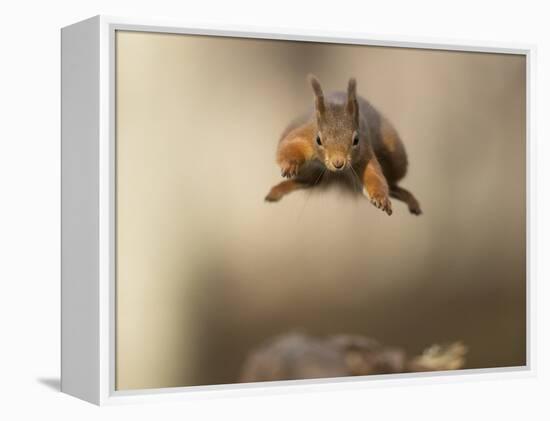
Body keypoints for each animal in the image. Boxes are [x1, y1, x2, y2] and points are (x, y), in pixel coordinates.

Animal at [268, 73, 422, 215]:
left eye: (356, 140)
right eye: (318, 140)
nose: (338, 163)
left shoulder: (364, 151)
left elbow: (373, 175)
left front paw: (381, 197)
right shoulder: (305, 135)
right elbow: (289, 146)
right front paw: (290, 164)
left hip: (395, 157)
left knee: (392, 185)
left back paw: (409, 199)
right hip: (309, 168)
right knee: (308, 181)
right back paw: (278, 190)